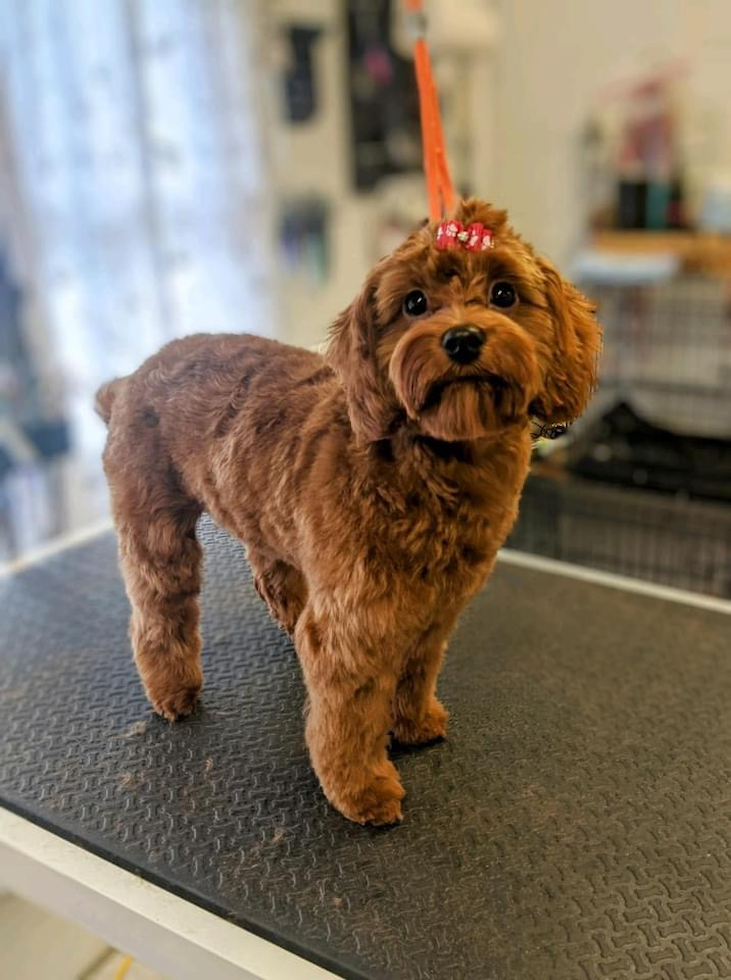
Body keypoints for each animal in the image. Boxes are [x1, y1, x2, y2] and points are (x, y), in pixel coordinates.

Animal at [97, 201, 600, 828]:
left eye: (504, 293)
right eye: (415, 303)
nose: (462, 339)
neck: (436, 464)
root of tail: (130, 380)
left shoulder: (436, 608)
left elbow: (416, 668)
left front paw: (413, 723)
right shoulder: (354, 621)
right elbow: (351, 711)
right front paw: (360, 788)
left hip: (260, 507)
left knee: (270, 574)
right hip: (156, 525)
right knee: (159, 609)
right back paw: (173, 690)